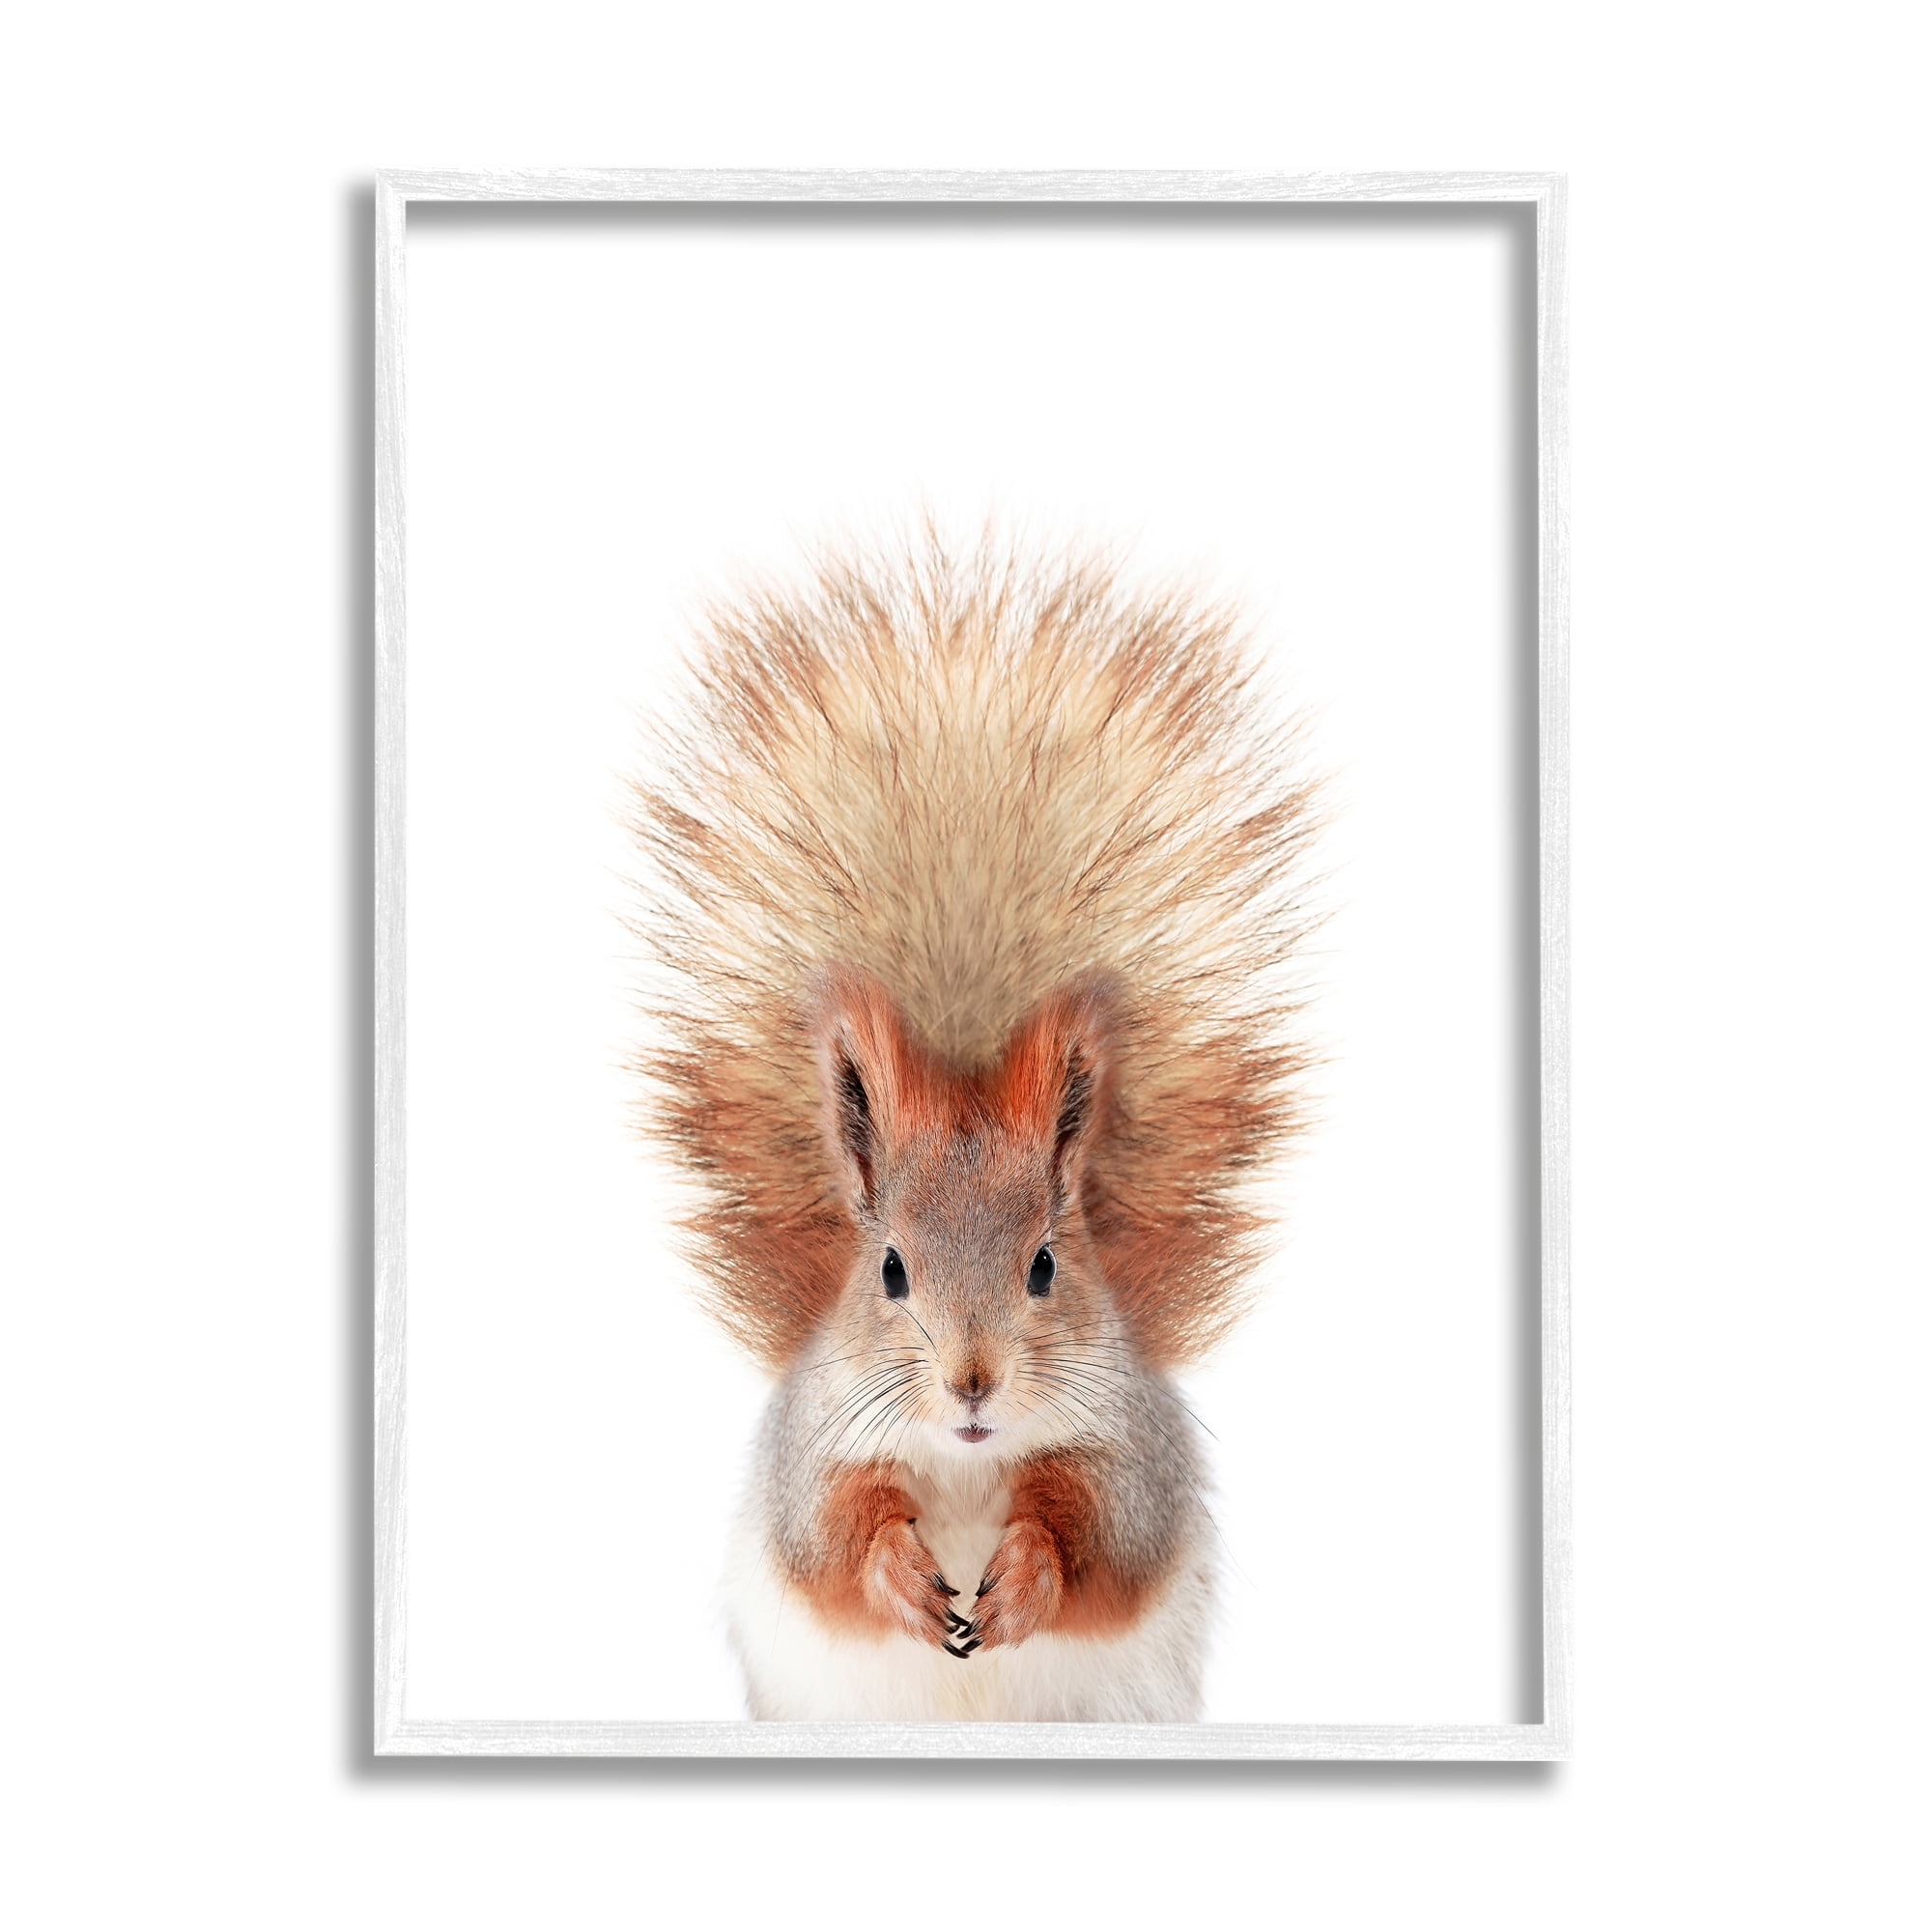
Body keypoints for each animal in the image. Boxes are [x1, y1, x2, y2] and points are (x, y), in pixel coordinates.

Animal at [626, 527, 1321, 1722]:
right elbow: (829, 1539)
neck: (963, 1460)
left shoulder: (1130, 1457)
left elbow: (1101, 1541)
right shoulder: (813, 1451)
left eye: (1045, 1265)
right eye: (890, 1270)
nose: (970, 1380)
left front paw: (1027, 1573)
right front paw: (901, 1574)